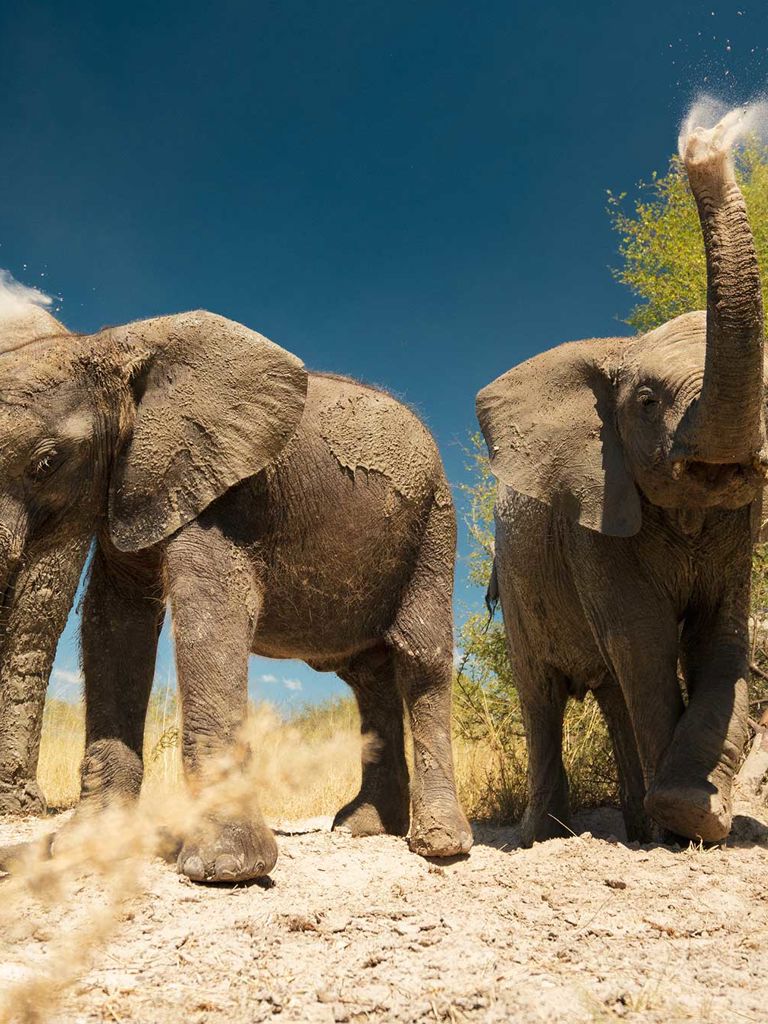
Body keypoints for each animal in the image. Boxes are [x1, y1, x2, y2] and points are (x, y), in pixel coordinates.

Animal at [0, 299, 472, 880]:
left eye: (46, 462)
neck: (109, 344)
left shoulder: (224, 493)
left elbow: (212, 612)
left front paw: (226, 870)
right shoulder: (133, 488)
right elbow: (115, 625)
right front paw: (86, 850)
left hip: (435, 524)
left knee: (419, 656)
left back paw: (440, 846)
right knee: (368, 676)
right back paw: (363, 828)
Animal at [476, 109, 766, 846]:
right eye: (648, 403)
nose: (704, 145)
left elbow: (719, 635)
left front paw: (689, 814)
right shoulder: (594, 515)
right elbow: (646, 640)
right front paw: (683, 825)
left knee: (609, 693)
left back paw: (635, 826)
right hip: (516, 586)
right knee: (541, 693)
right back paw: (542, 835)